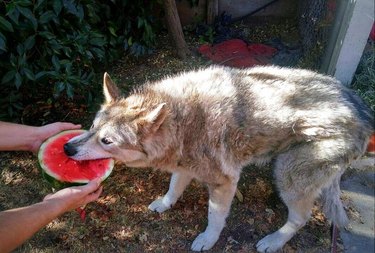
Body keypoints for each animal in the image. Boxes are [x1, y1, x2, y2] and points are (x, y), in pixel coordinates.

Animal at [64, 66, 374, 252]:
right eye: (92, 127)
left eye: (107, 141)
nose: (67, 149)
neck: (184, 120)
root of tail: (362, 112)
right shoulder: (183, 167)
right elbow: (173, 188)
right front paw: (164, 204)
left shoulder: (225, 182)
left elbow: (215, 218)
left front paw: (207, 240)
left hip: (288, 177)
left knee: (301, 217)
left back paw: (273, 242)